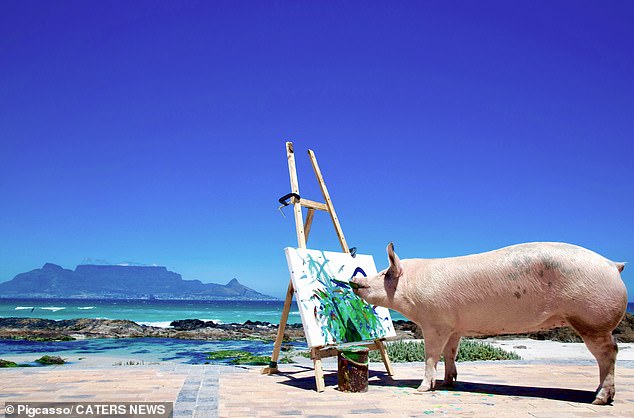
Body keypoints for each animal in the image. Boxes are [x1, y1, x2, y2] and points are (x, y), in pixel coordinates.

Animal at [350, 242, 628, 404]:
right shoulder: (455, 326)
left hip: (593, 319)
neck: (412, 288)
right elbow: (451, 353)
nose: (355, 282)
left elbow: (431, 356)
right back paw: (597, 394)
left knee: (609, 352)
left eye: (384, 274)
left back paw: (599, 399)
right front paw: (449, 383)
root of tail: (612, 265)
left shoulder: (435, 323)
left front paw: (421, 389)